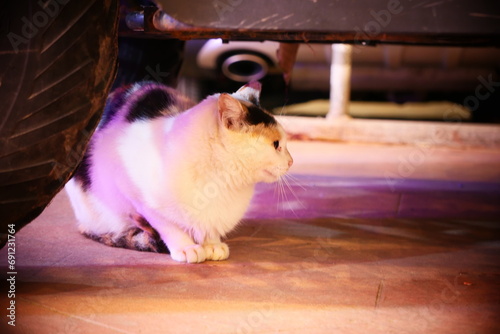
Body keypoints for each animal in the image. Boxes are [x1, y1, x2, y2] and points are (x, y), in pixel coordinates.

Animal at [66, 81, 292, 264]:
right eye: (276, 144)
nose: (291, 162)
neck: (222, 179)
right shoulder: (134, 192)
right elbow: (168, 226)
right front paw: (186, 247)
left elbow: (208, 226)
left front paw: (211, 244)